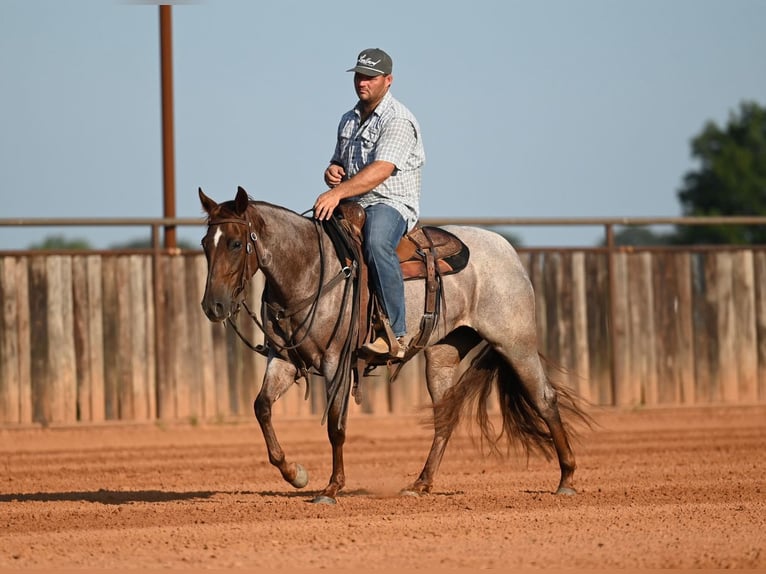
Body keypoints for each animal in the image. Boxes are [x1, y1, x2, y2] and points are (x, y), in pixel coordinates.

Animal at [199, 186, 590, 504]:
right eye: (205, 244)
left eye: (235, 243)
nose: (212, 306)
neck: (309, 269)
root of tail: (507, 250)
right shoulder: (285, 360)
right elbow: (261, 407)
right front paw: (295, 474)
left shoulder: (336, 362)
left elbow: (335, 425)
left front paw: (331, 489)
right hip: (443, 353)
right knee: (445, 416)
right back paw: (420, 484)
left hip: (515, 342)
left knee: (544, 399)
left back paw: (567, 479)